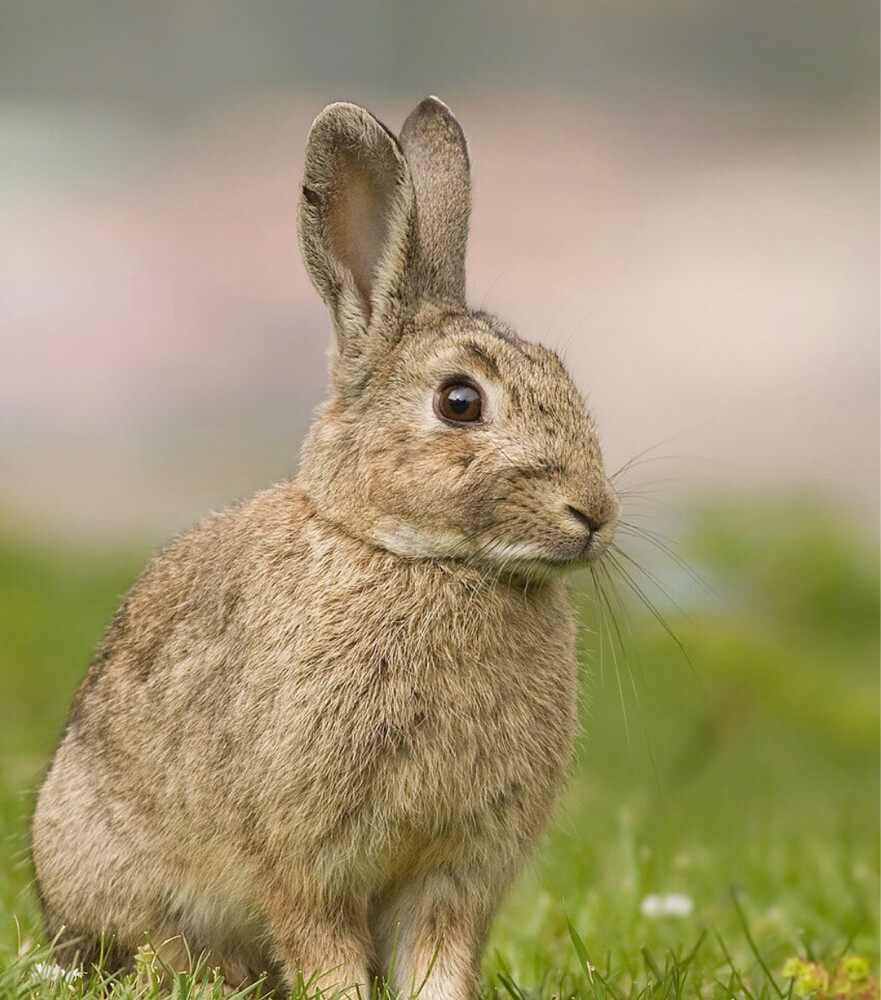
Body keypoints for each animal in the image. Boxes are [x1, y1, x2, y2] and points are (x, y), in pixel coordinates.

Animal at [31, 97, 619, 1000]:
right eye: (459, 402)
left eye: (561, 373)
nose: (593, 513)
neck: (419, 559)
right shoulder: (305, 857)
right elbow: (320, 943)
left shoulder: (456, 871)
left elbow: (438, 956)